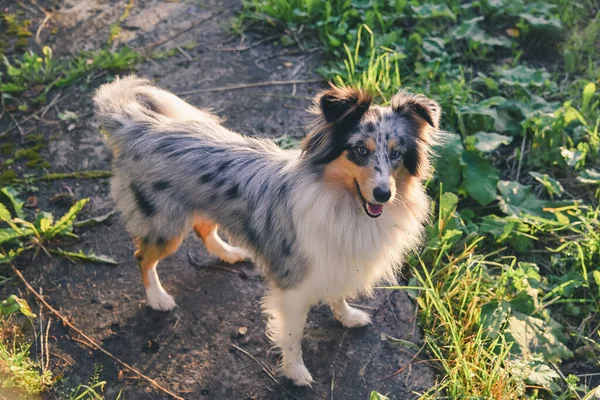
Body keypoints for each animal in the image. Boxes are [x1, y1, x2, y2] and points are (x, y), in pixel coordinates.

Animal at [94, 76, 440, 386]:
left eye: (396, 153)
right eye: (359, 150)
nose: (383, 194)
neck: (345, 203)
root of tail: (139, 125)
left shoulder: (339, 259)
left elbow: (338, 293)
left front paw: (347, 316)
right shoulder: (294, 288)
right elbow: (293, 335)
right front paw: (296, 373)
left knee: (203, 227)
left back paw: (230, 254)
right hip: (165, 227)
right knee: (142, 256)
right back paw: (158, 298)